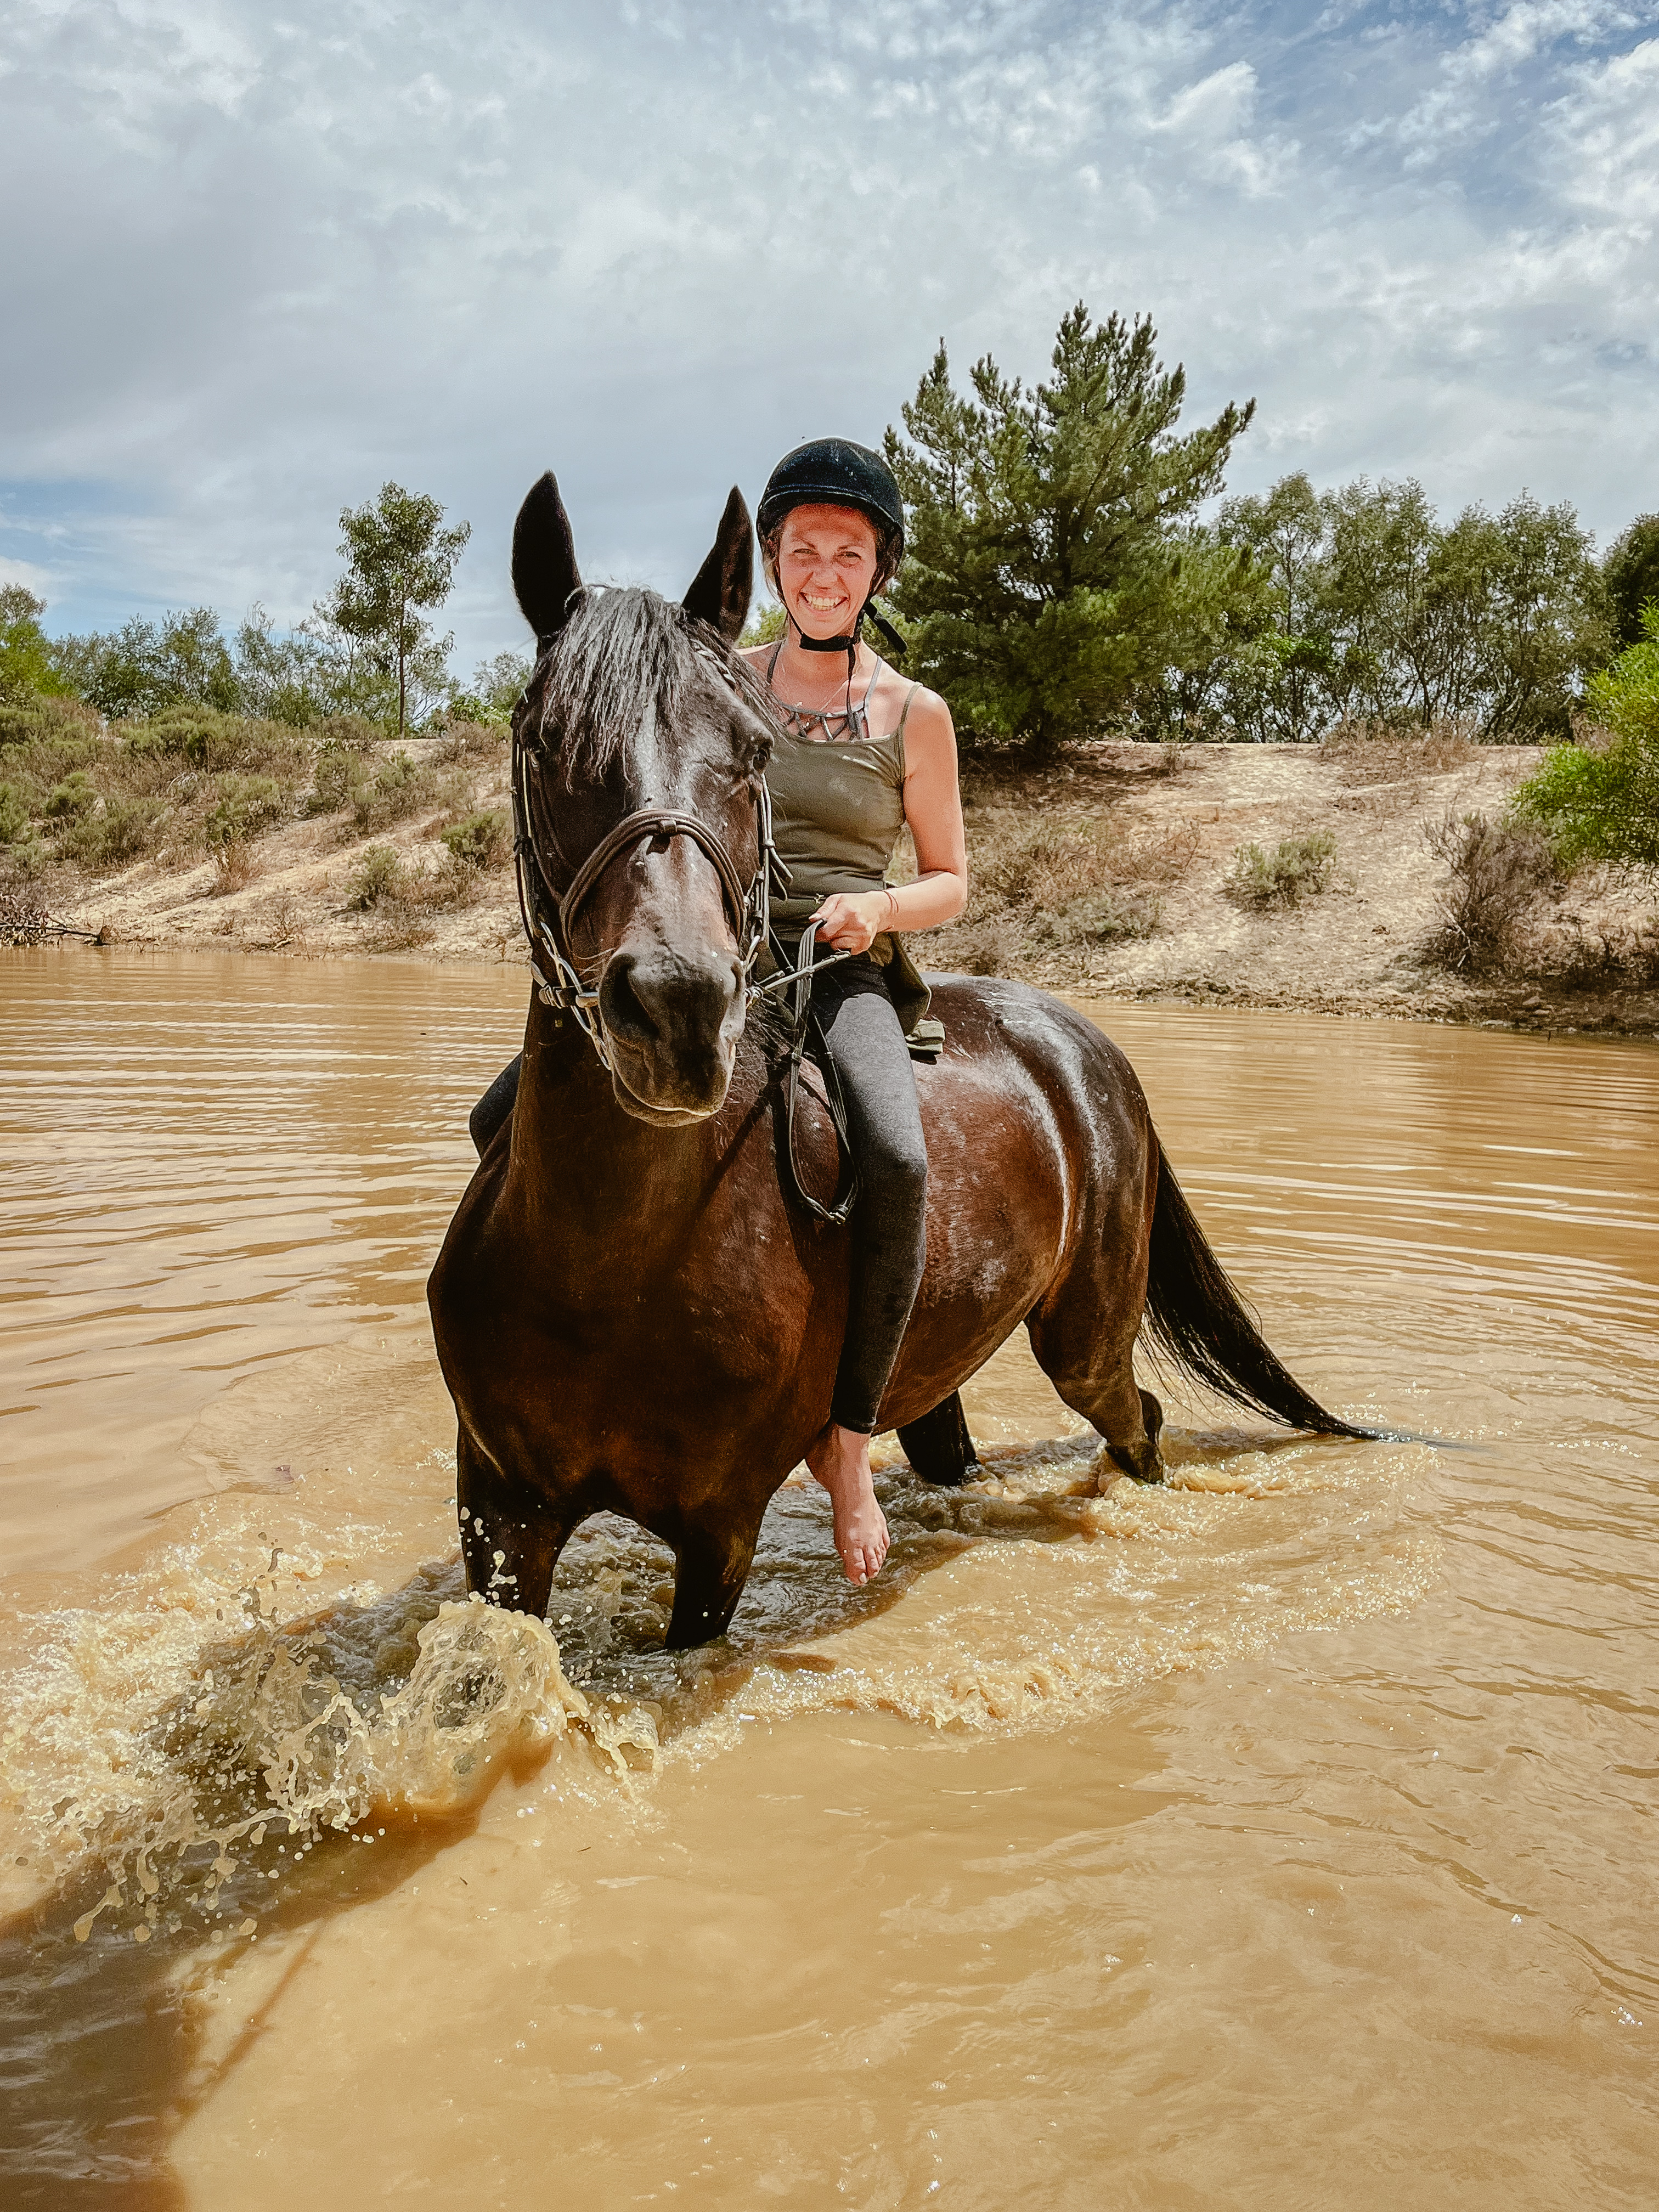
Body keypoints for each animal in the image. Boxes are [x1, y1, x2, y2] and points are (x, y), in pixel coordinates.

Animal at [426, 472, 1366, 1650]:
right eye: (546, 740)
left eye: (752, 752)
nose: (679, 1010)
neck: (612, 1257)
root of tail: (1082, 1043)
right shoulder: (499, 1509)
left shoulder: (718, 1531)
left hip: (1084, 1338)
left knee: (1136, 1420)